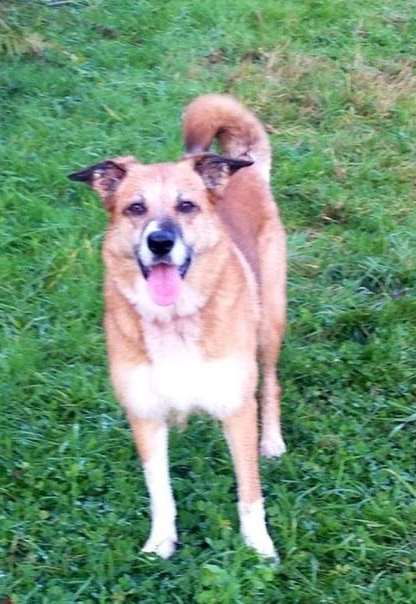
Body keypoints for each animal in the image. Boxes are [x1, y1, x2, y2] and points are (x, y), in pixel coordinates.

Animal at [70, 94, 288, 560]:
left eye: (186, 206)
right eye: (135, 208)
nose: (160, 242)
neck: (174, 321)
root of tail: (243, 168)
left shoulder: (237, 410)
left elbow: (249, 492)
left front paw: (258, 546)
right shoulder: (144, 414)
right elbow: (160, 490)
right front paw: (161, 542)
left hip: (269, 326)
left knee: (271, 384)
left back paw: (273, 442)